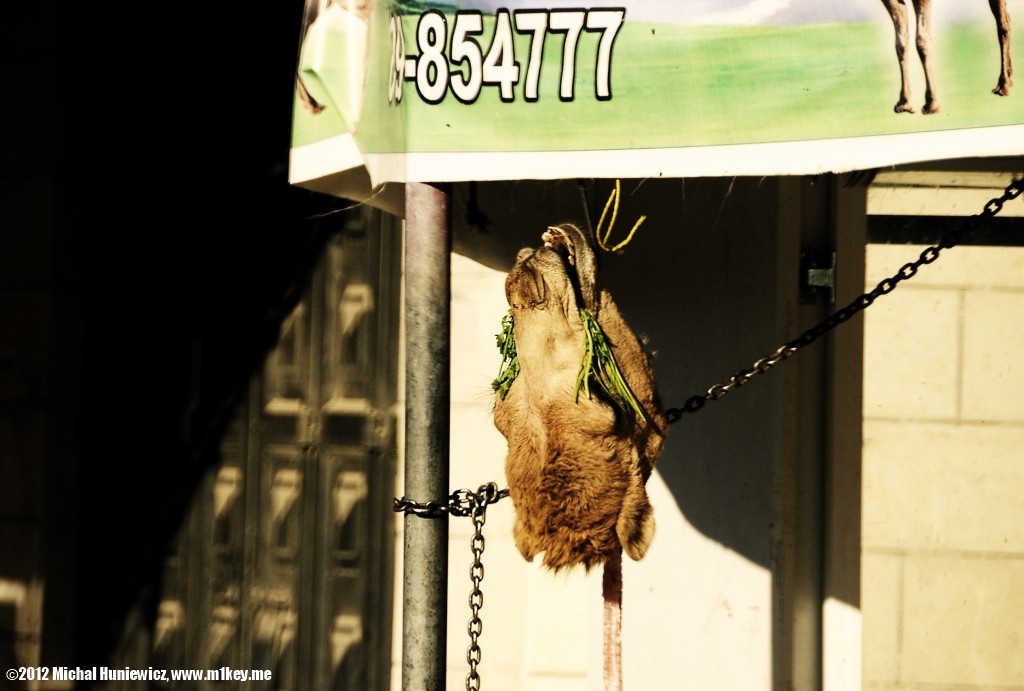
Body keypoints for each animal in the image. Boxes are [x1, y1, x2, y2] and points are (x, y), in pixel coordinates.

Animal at [881, 0, 1013, 113]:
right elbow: (901, 44)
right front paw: (904, 103)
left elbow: (922, 40)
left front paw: (932, 103)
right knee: (1006, 19)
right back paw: (1009, 79)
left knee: (1003, 24)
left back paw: (1003, 86)